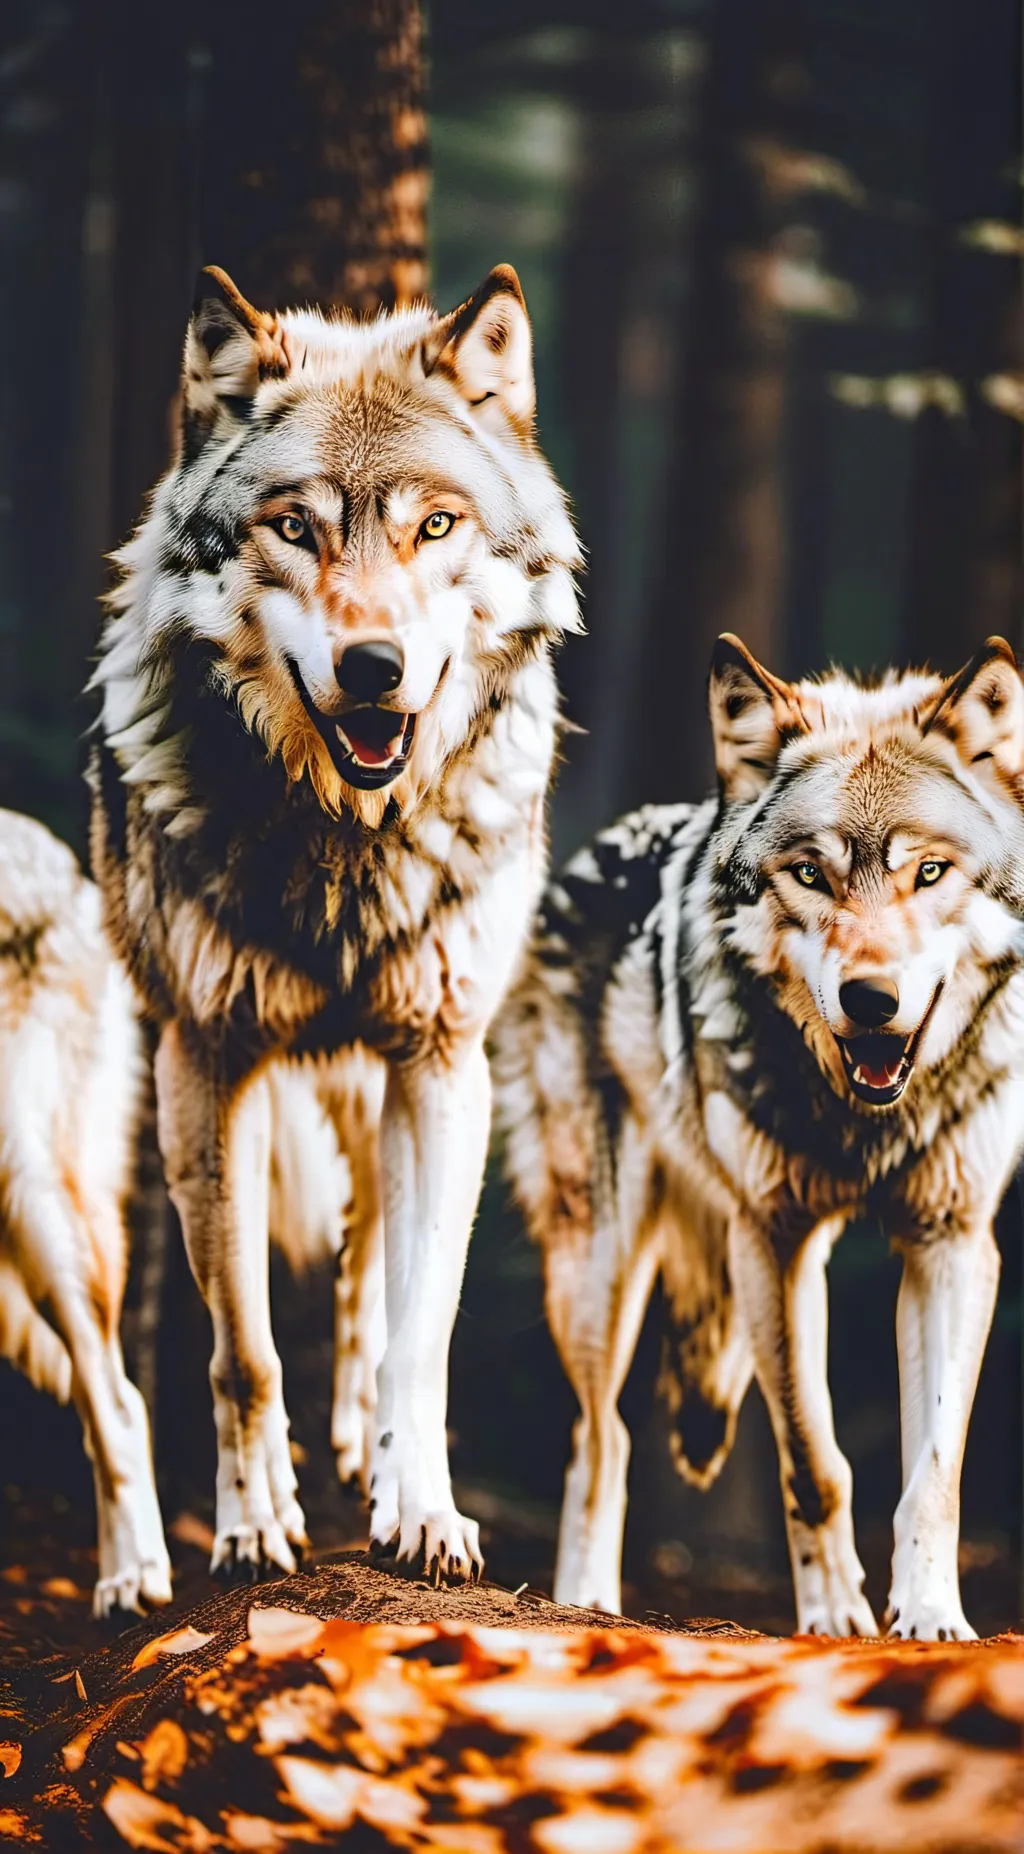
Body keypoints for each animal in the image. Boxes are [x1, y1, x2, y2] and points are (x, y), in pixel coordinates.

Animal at [90, 263, 581, 1584]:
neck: (345, 844)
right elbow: (245, 1351)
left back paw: (369, 1448)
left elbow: (420, 1331)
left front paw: (425, 1513)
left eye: (435, 528)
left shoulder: (442, 1062)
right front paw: (255, 1525)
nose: (373, 668)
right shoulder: (209, 1062)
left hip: (381, 1090)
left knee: (369, 1289)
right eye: (296, 528)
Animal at [495, 633, 1024, 1639]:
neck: (862, 1122)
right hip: (599, 1264)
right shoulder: (772, 1241)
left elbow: (932, 1473)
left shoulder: (951, 1243)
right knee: (600, 1437)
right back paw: (585, 1605)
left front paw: (931, 1616)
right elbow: (816, 1464)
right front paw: (836, 1619)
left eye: (929, 873)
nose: (871, 1000)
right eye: (811, 875)